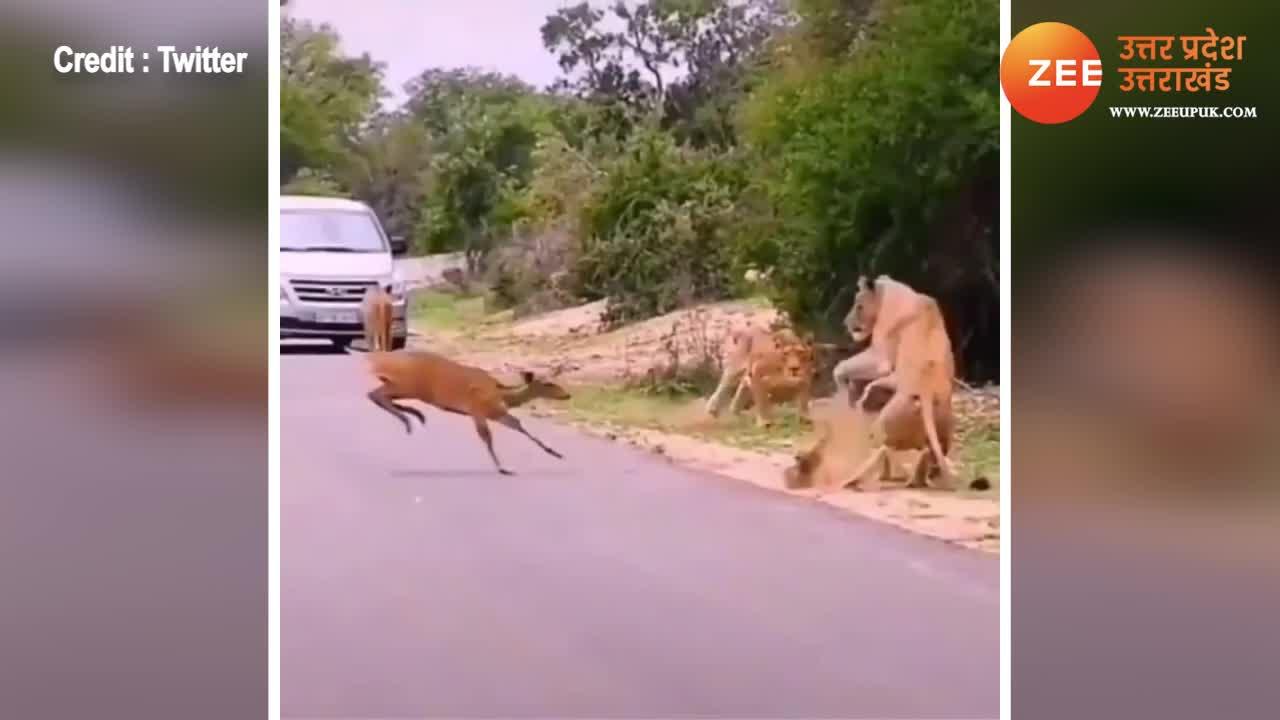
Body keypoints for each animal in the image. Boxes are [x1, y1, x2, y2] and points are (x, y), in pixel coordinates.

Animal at [353, 349, 571, 475]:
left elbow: (518, 425)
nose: (567, 395)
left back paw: (415, 417)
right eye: (547, 383)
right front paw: (503, 468)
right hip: (408, 385)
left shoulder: (495, 413)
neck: (501, 394)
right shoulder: (477, 410)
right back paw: (410, 420)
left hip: (408, 388)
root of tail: (377, 363)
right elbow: (486, 436)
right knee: (375, 394)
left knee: (378, 395)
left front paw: (556, 453)